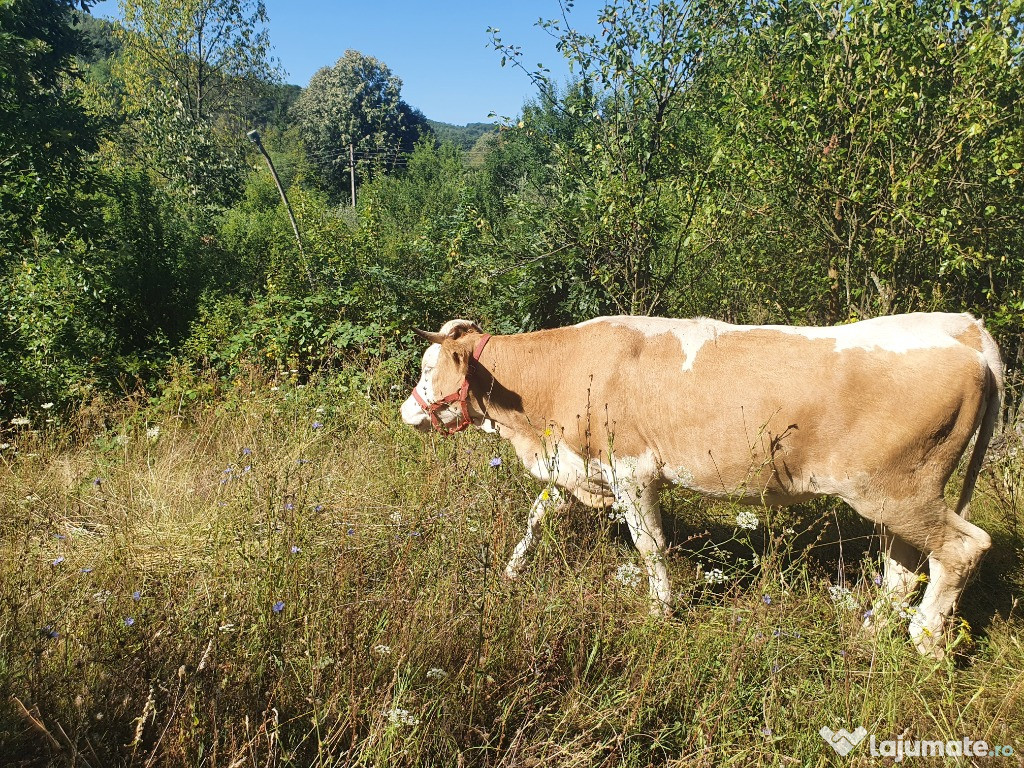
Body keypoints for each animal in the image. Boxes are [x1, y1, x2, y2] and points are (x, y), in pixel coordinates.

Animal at [399, 313, 999, 663]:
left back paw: (925, 642)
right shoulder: (578, 468)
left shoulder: (632, 472)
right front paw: (512, 571)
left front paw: (661, 611)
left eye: (428, 368)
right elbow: (537, 513)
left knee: (962, 548)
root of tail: (966, 331)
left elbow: (650, 546)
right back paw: (872, 632)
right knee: (903, 562)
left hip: (897, 490)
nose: (406, 411)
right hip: (894, 496)